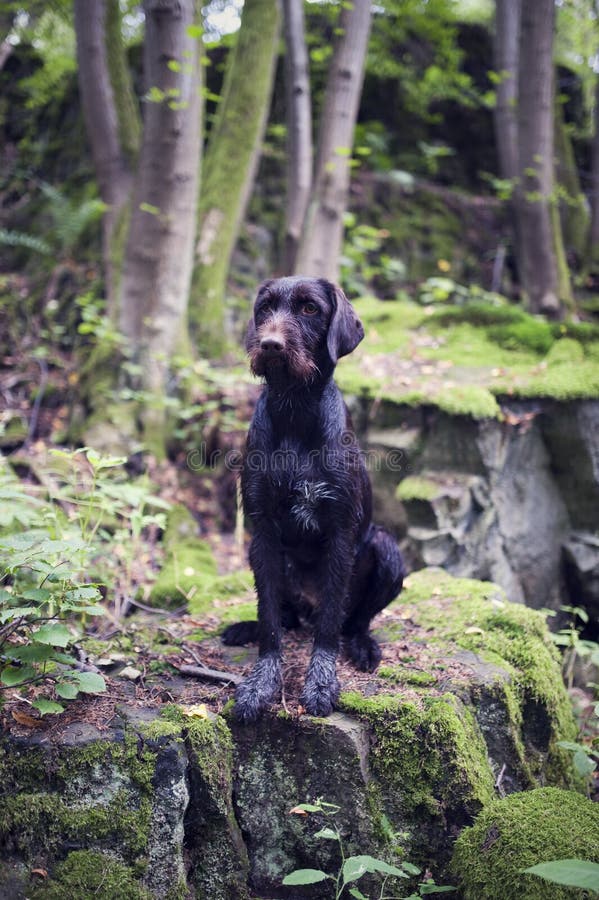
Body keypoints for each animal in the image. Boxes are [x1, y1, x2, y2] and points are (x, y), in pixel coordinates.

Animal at [223, 278, 406, 720]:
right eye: (265, 307)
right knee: (284, 617)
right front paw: (262, 682)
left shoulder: (340, 533)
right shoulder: (263, 533)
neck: (295, 410)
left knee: (351, 621)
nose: (270, 344)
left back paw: (362, 645)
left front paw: (321, 683)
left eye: (309, 308)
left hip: (387, 549)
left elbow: (328, 626)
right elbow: (270, 622)